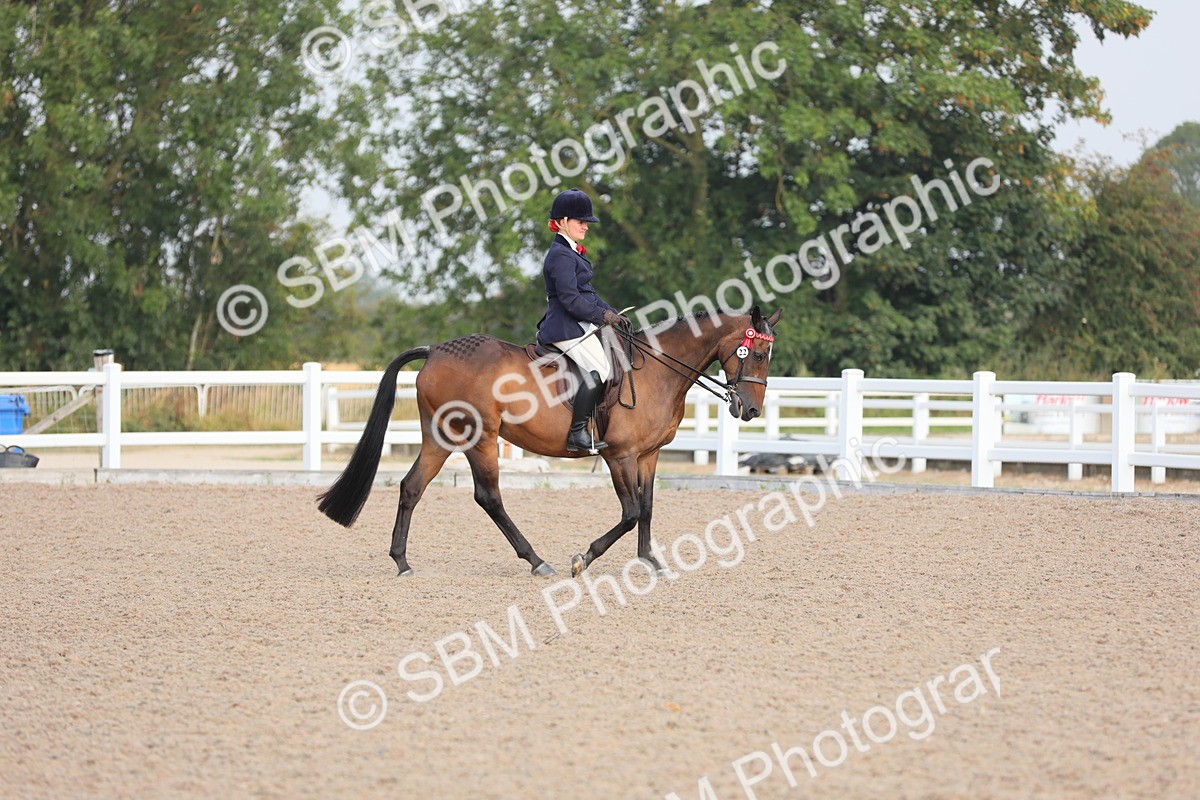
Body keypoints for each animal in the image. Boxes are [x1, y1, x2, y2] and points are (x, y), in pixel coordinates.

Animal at [317, 305, 782, 577]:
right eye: (758, 354)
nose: (750, 410)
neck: (655, 370)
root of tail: (435, 350)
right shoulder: (620, 456)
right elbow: (631, 512)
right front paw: (584, 558)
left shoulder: (649, 455)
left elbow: (647, 508)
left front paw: (650, 561)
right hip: (481, 438)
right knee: (489, 497)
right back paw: (537, 561)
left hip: (441, 437)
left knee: (412, 487)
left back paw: (402, 561)